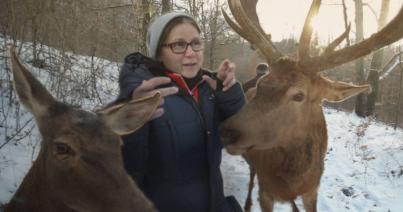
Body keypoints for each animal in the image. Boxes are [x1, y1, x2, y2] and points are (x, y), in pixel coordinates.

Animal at [219, 0, 403, 211]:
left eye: (299, 95)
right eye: (261, 84)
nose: (226, 132)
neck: (295, 181)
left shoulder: (312, 191)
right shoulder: (265, 191)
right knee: (251, 175)